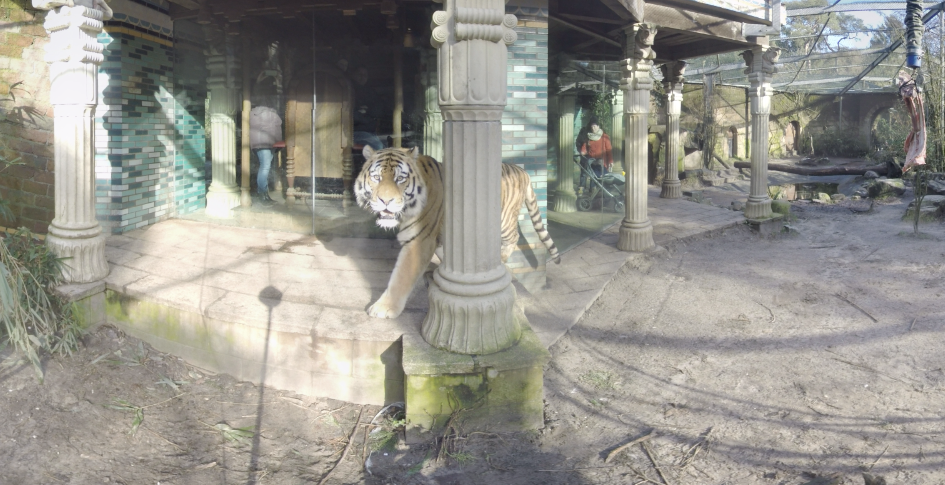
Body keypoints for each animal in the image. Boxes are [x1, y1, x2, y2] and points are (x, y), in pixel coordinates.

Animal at [355, 146, 561, 319]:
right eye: (377, 178)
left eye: (400, 179)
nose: (385, 201)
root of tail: (521, 169)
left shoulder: (419, 240)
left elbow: (401, 276)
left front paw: (384, 308)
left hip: (505, 221)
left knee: (514, 237)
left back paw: (502, 259)